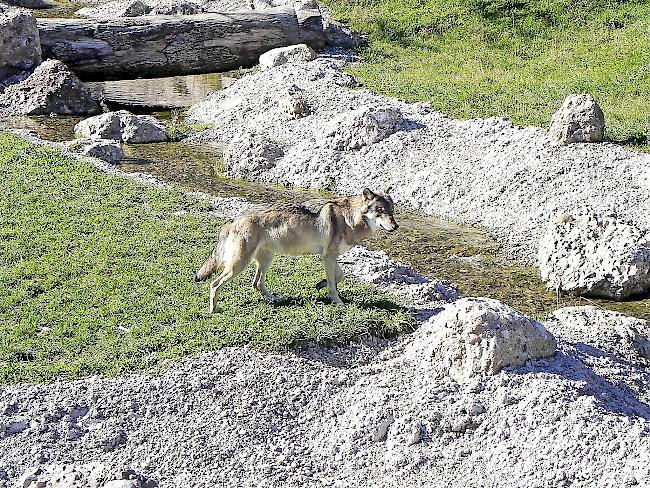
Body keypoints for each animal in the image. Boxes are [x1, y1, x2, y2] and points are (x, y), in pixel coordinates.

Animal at [194, 187, 394, 312]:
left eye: (392, 210)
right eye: (380, 210)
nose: (396, 226)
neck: (349, 218)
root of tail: (234, 218)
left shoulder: (330, 257)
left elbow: (339, 276)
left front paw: (321, 284)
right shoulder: (328, 257)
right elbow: (334, 286)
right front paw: (337, 301)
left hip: (266, 260)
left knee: (256, 284)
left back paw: (275, 299)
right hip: (238, 266)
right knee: (214, 284)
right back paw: (214, 310)